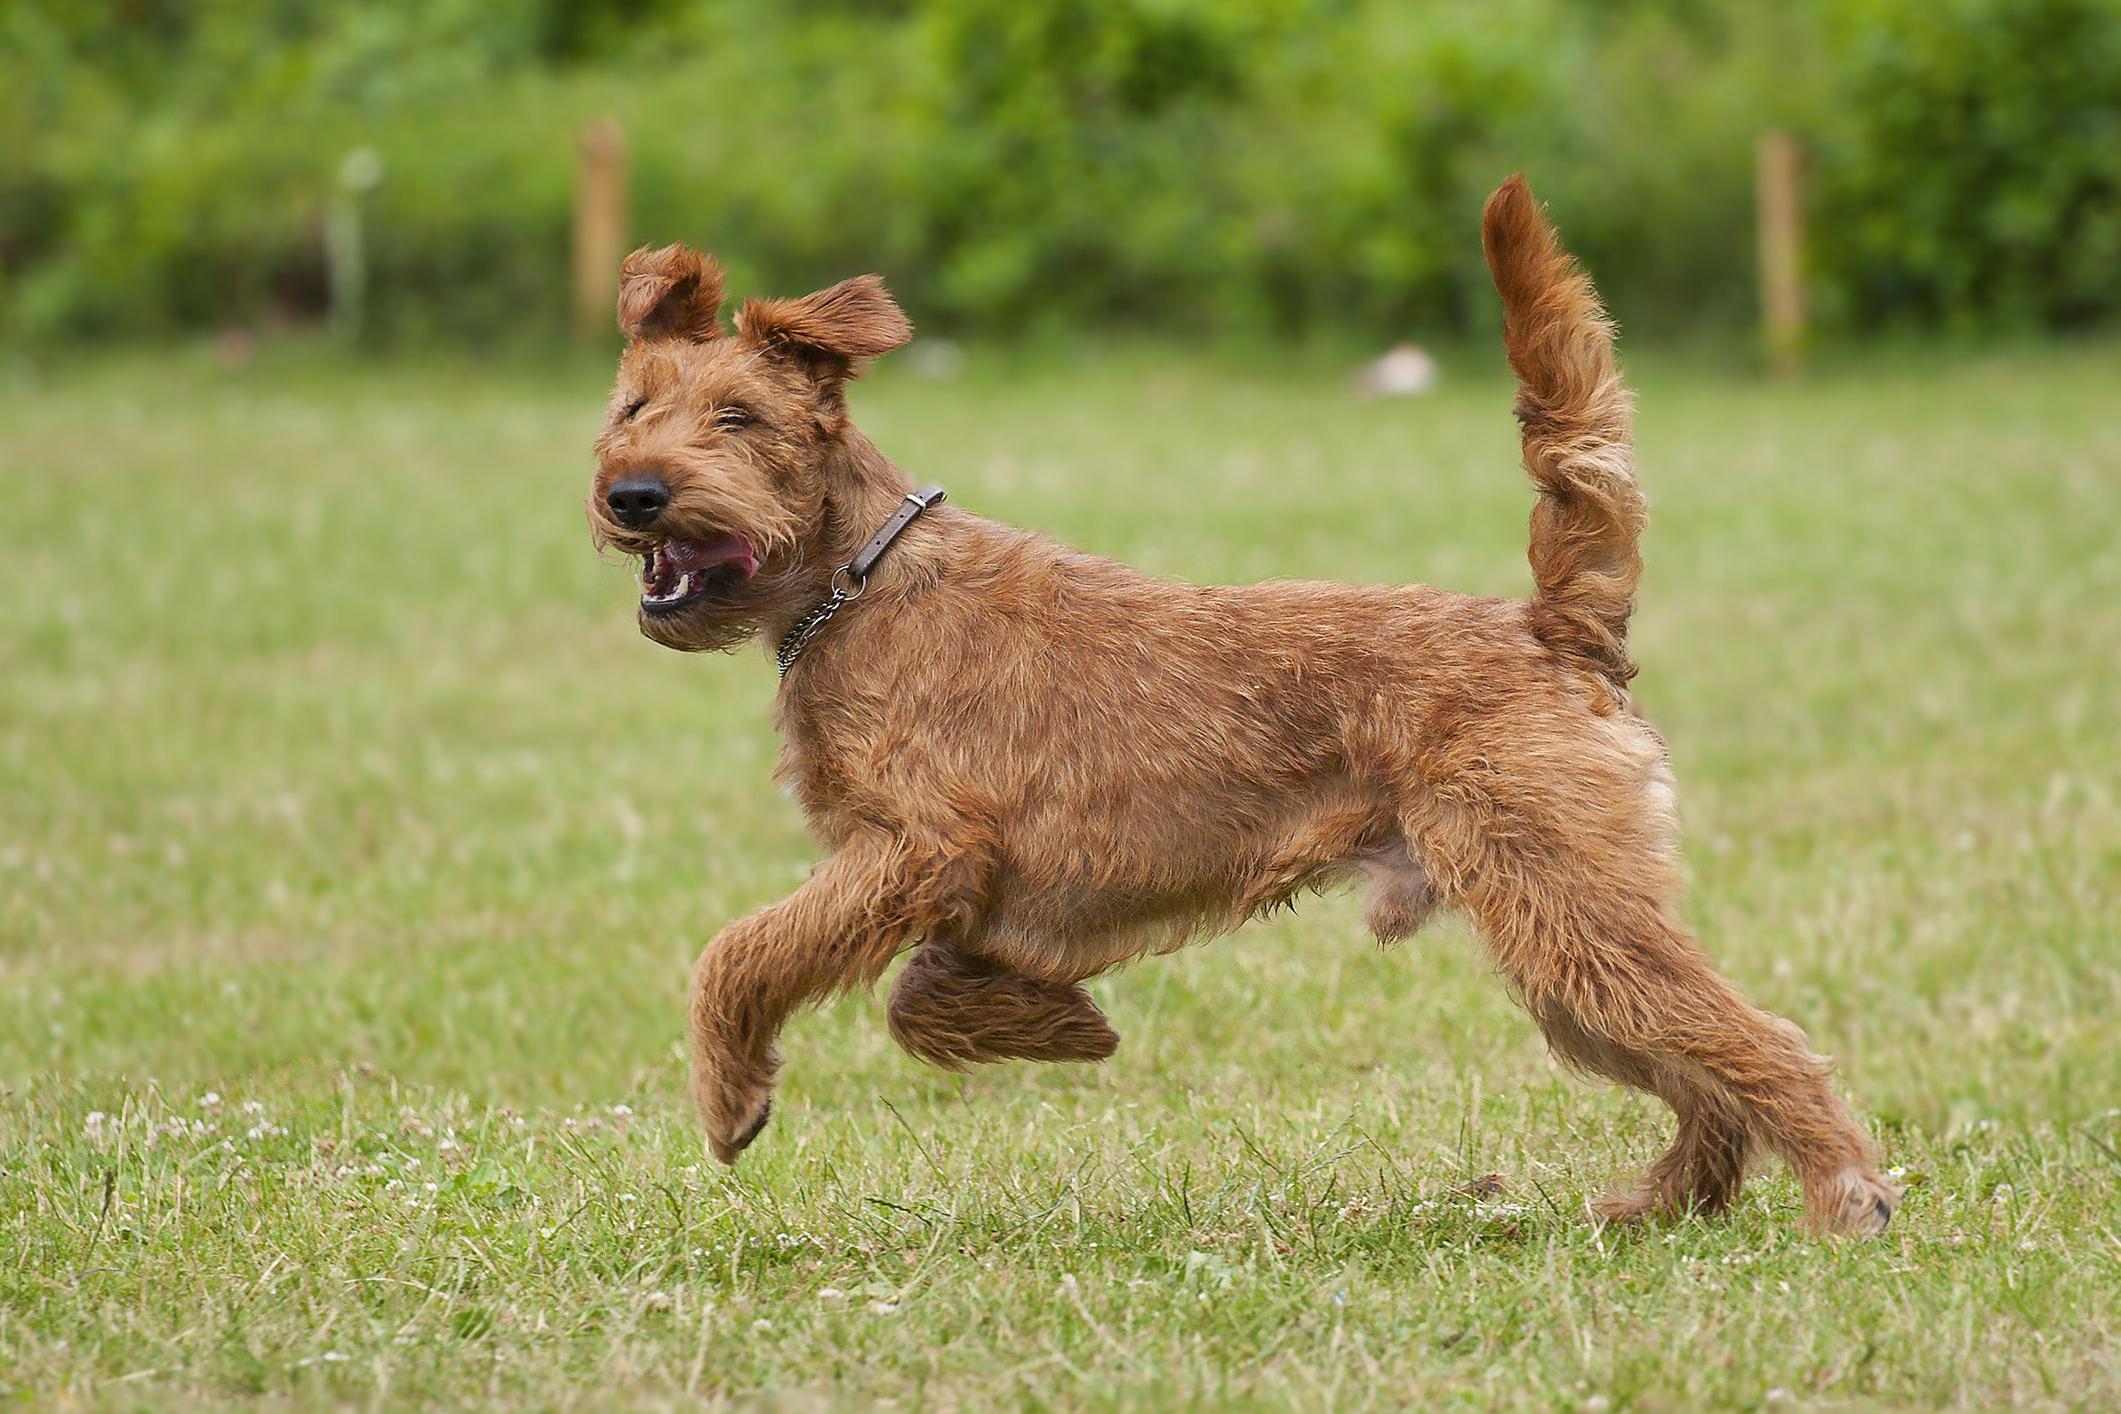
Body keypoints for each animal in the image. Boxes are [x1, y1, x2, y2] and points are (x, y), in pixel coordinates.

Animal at [589, 177, 1900, 1238]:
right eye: (630, 408)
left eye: (740, 419)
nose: (633, 494)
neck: (855, 581)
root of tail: (1553, 627)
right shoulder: (946, 878)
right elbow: (918, 992)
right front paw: (1054, 1025)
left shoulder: (916, 846)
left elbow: (741, 950)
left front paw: (732, 1097)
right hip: (1563, 936)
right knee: (1698, 1066)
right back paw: (1669, 1200)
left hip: (1562, 899)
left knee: (1754, 1041)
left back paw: (1846, 1196)